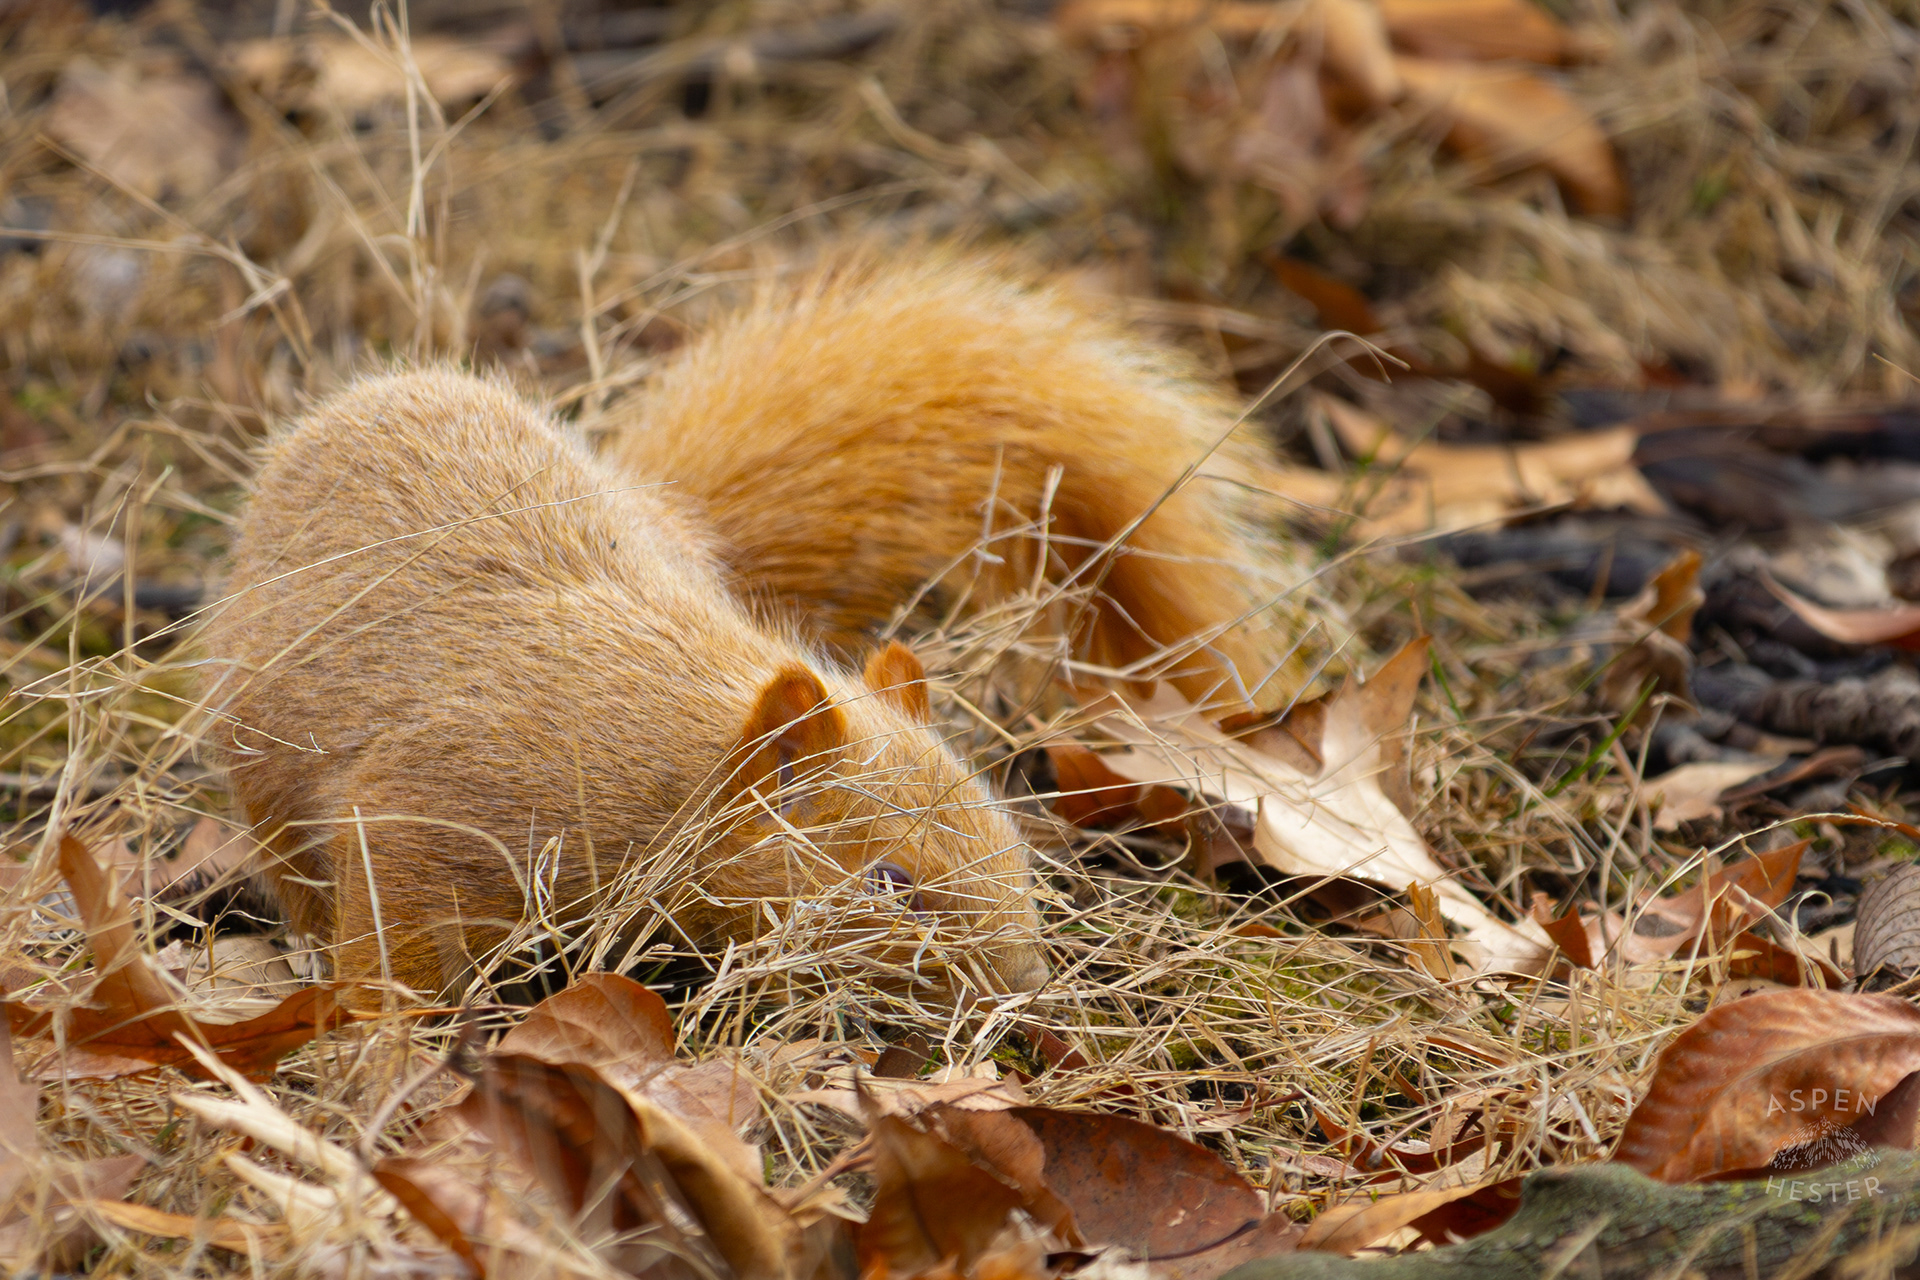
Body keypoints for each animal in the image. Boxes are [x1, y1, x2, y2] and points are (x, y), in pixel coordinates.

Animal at [201, 256, 1321, 1000]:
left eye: (1009, 834)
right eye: (888, 882)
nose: (1021, 986)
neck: (677, 762)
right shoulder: (435, 804)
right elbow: (392, 944)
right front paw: (387, 1060)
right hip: (261, 765)